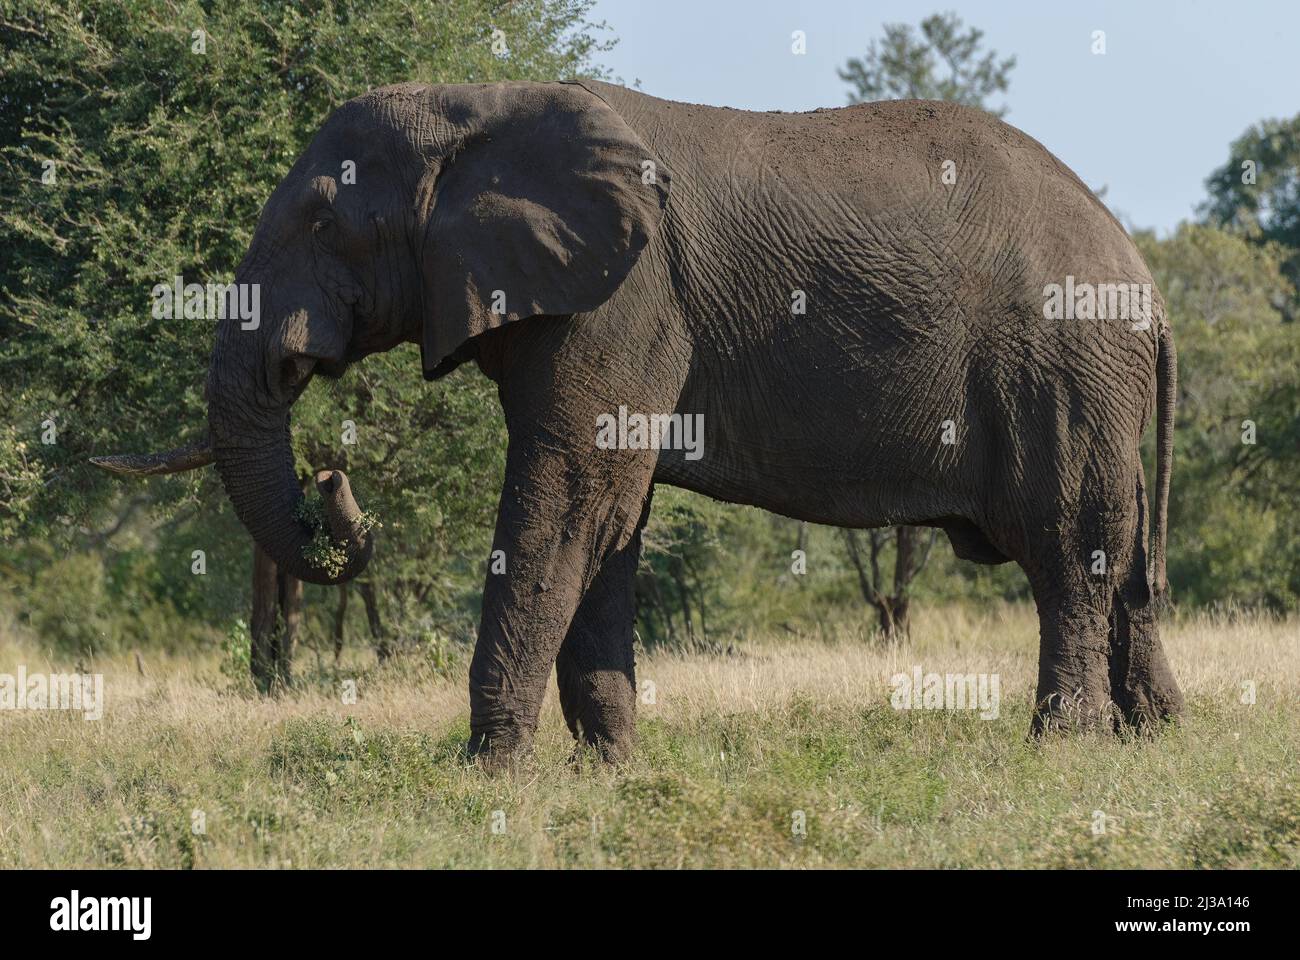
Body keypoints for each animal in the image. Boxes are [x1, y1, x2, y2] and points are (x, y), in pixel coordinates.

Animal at [96, 76, 1185, 764]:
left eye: (326, 219)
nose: (330, 479)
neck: (478, 108)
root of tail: (1145, 279)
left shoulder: (623, 299)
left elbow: (568, 499)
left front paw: (488, 772)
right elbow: (609, 520)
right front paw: (609, 768)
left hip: (1063, 369)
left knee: (1067, 545)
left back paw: (1065, 749)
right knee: (1121, 550)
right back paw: (1157, 735)